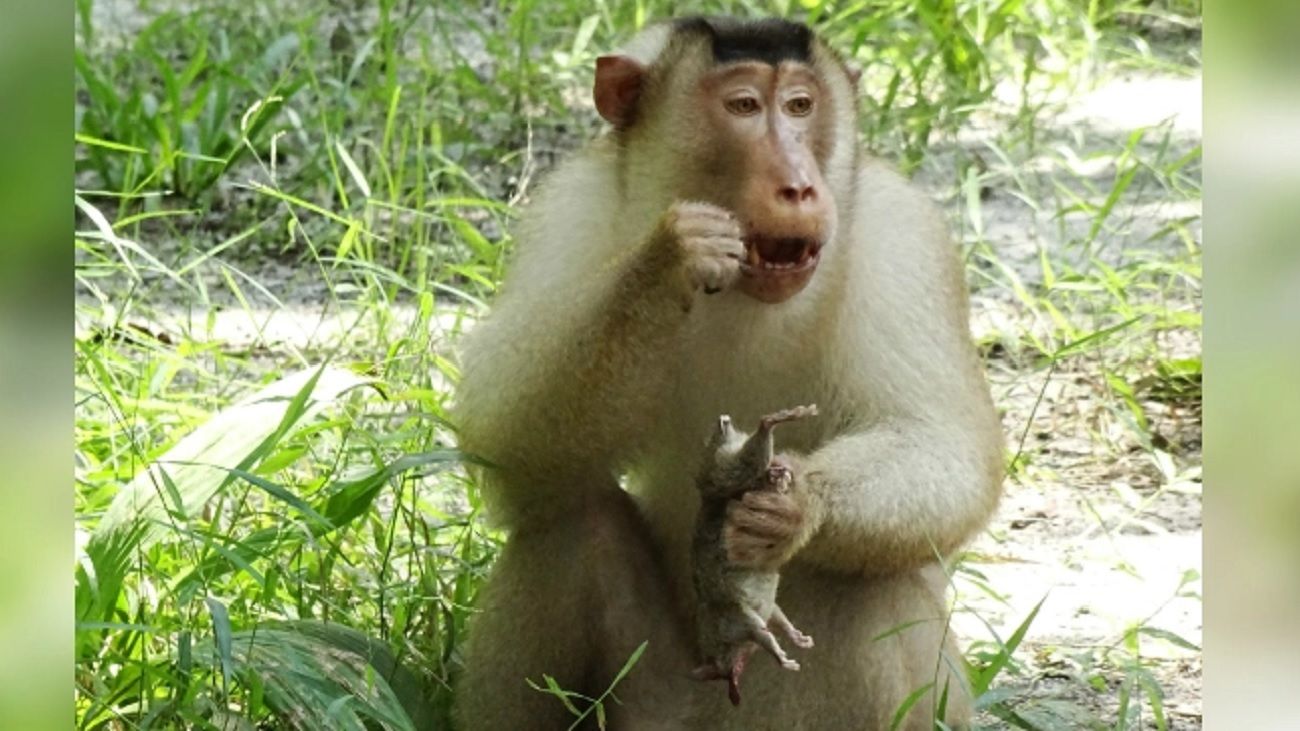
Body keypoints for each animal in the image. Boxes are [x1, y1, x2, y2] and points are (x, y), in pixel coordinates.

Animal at [691, 406, 818, 707]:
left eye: (721, 673)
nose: (733, 689)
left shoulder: (744, 623)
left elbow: (771, 631)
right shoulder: (750, 622)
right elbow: (773, 626)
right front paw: (789, 647)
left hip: (722, 472)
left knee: (738, 467)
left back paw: (773, 429)